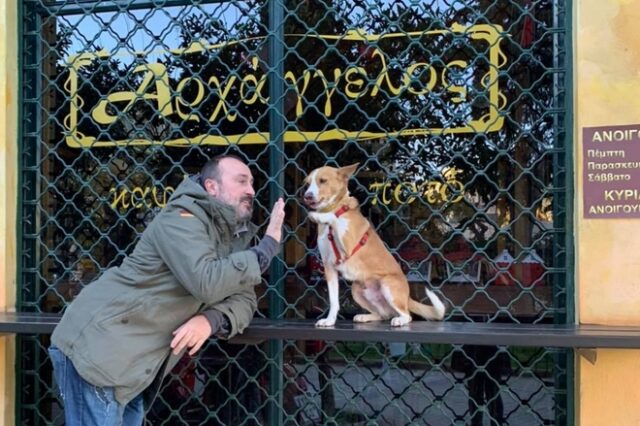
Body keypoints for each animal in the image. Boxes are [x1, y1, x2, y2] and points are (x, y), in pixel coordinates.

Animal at [304, 163, 444, 326]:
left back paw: (400, 320)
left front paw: (318, 216)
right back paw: (365, 317)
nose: (307, 196)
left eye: (323, 180)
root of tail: (407, 297)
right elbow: (333, 301)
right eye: (307, 184)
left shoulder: (348, 245)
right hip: (356, 289)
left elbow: (333, 217)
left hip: (387, 284)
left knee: (407, 315)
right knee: (382, 315)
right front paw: (330, 321)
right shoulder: (329, 267)